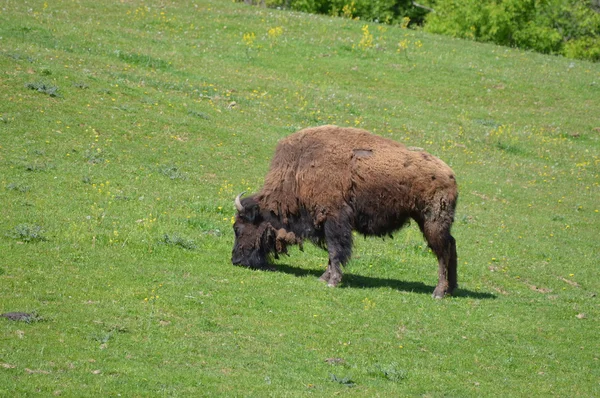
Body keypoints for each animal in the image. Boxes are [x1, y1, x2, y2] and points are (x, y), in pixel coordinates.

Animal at [232, 126, 458, 296]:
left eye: (238, 228)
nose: (236, 260)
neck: (298, 171)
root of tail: (450, 174)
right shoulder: (327, 222)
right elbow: (332, 254)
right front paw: (324, 277)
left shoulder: (335, 220)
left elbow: (335, 251)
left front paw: (333, 281)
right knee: (451, 245)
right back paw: (451, 289)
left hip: (432, 222)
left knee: (442, 252)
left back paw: (439, 292)